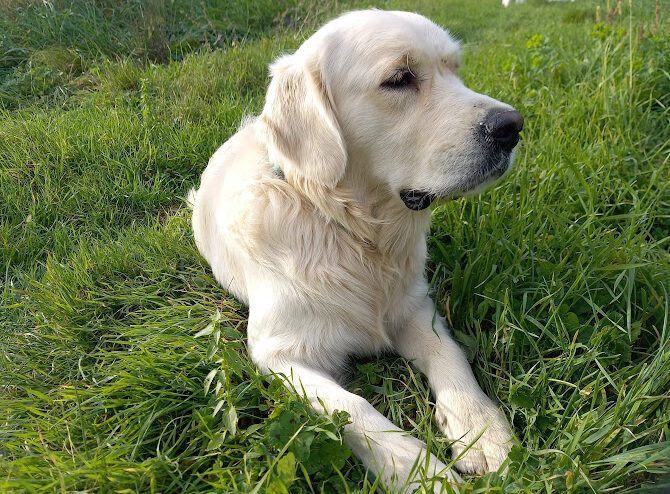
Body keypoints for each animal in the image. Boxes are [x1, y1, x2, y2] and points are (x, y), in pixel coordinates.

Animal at [189, 9, 524, 492]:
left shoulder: (413, 305)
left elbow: (451, 355)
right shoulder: (281, 354)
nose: (512, 126)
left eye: (456, 69)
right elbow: (356, 411)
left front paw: (482, 430)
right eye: (399, 79)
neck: (351, 230)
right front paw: (426, 476)